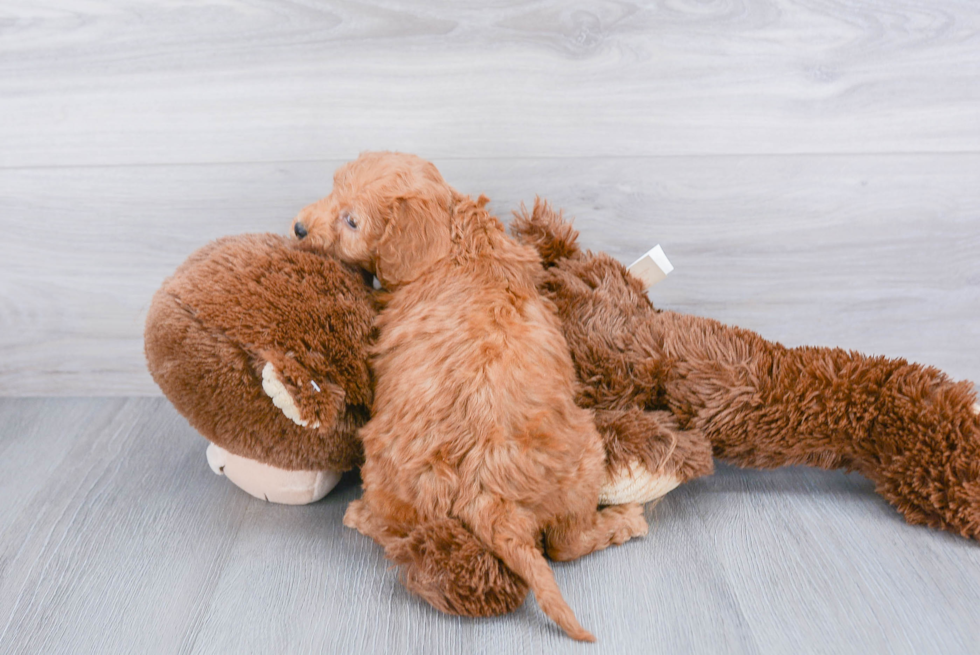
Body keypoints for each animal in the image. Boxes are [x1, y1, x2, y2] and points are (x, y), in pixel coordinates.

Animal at [290, 152, 644, 640]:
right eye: (332, 189)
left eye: (352, 221)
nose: (299, 228)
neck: (454, 242)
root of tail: (486, 496)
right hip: (585, 457)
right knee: (566, 542)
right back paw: (623, 520)